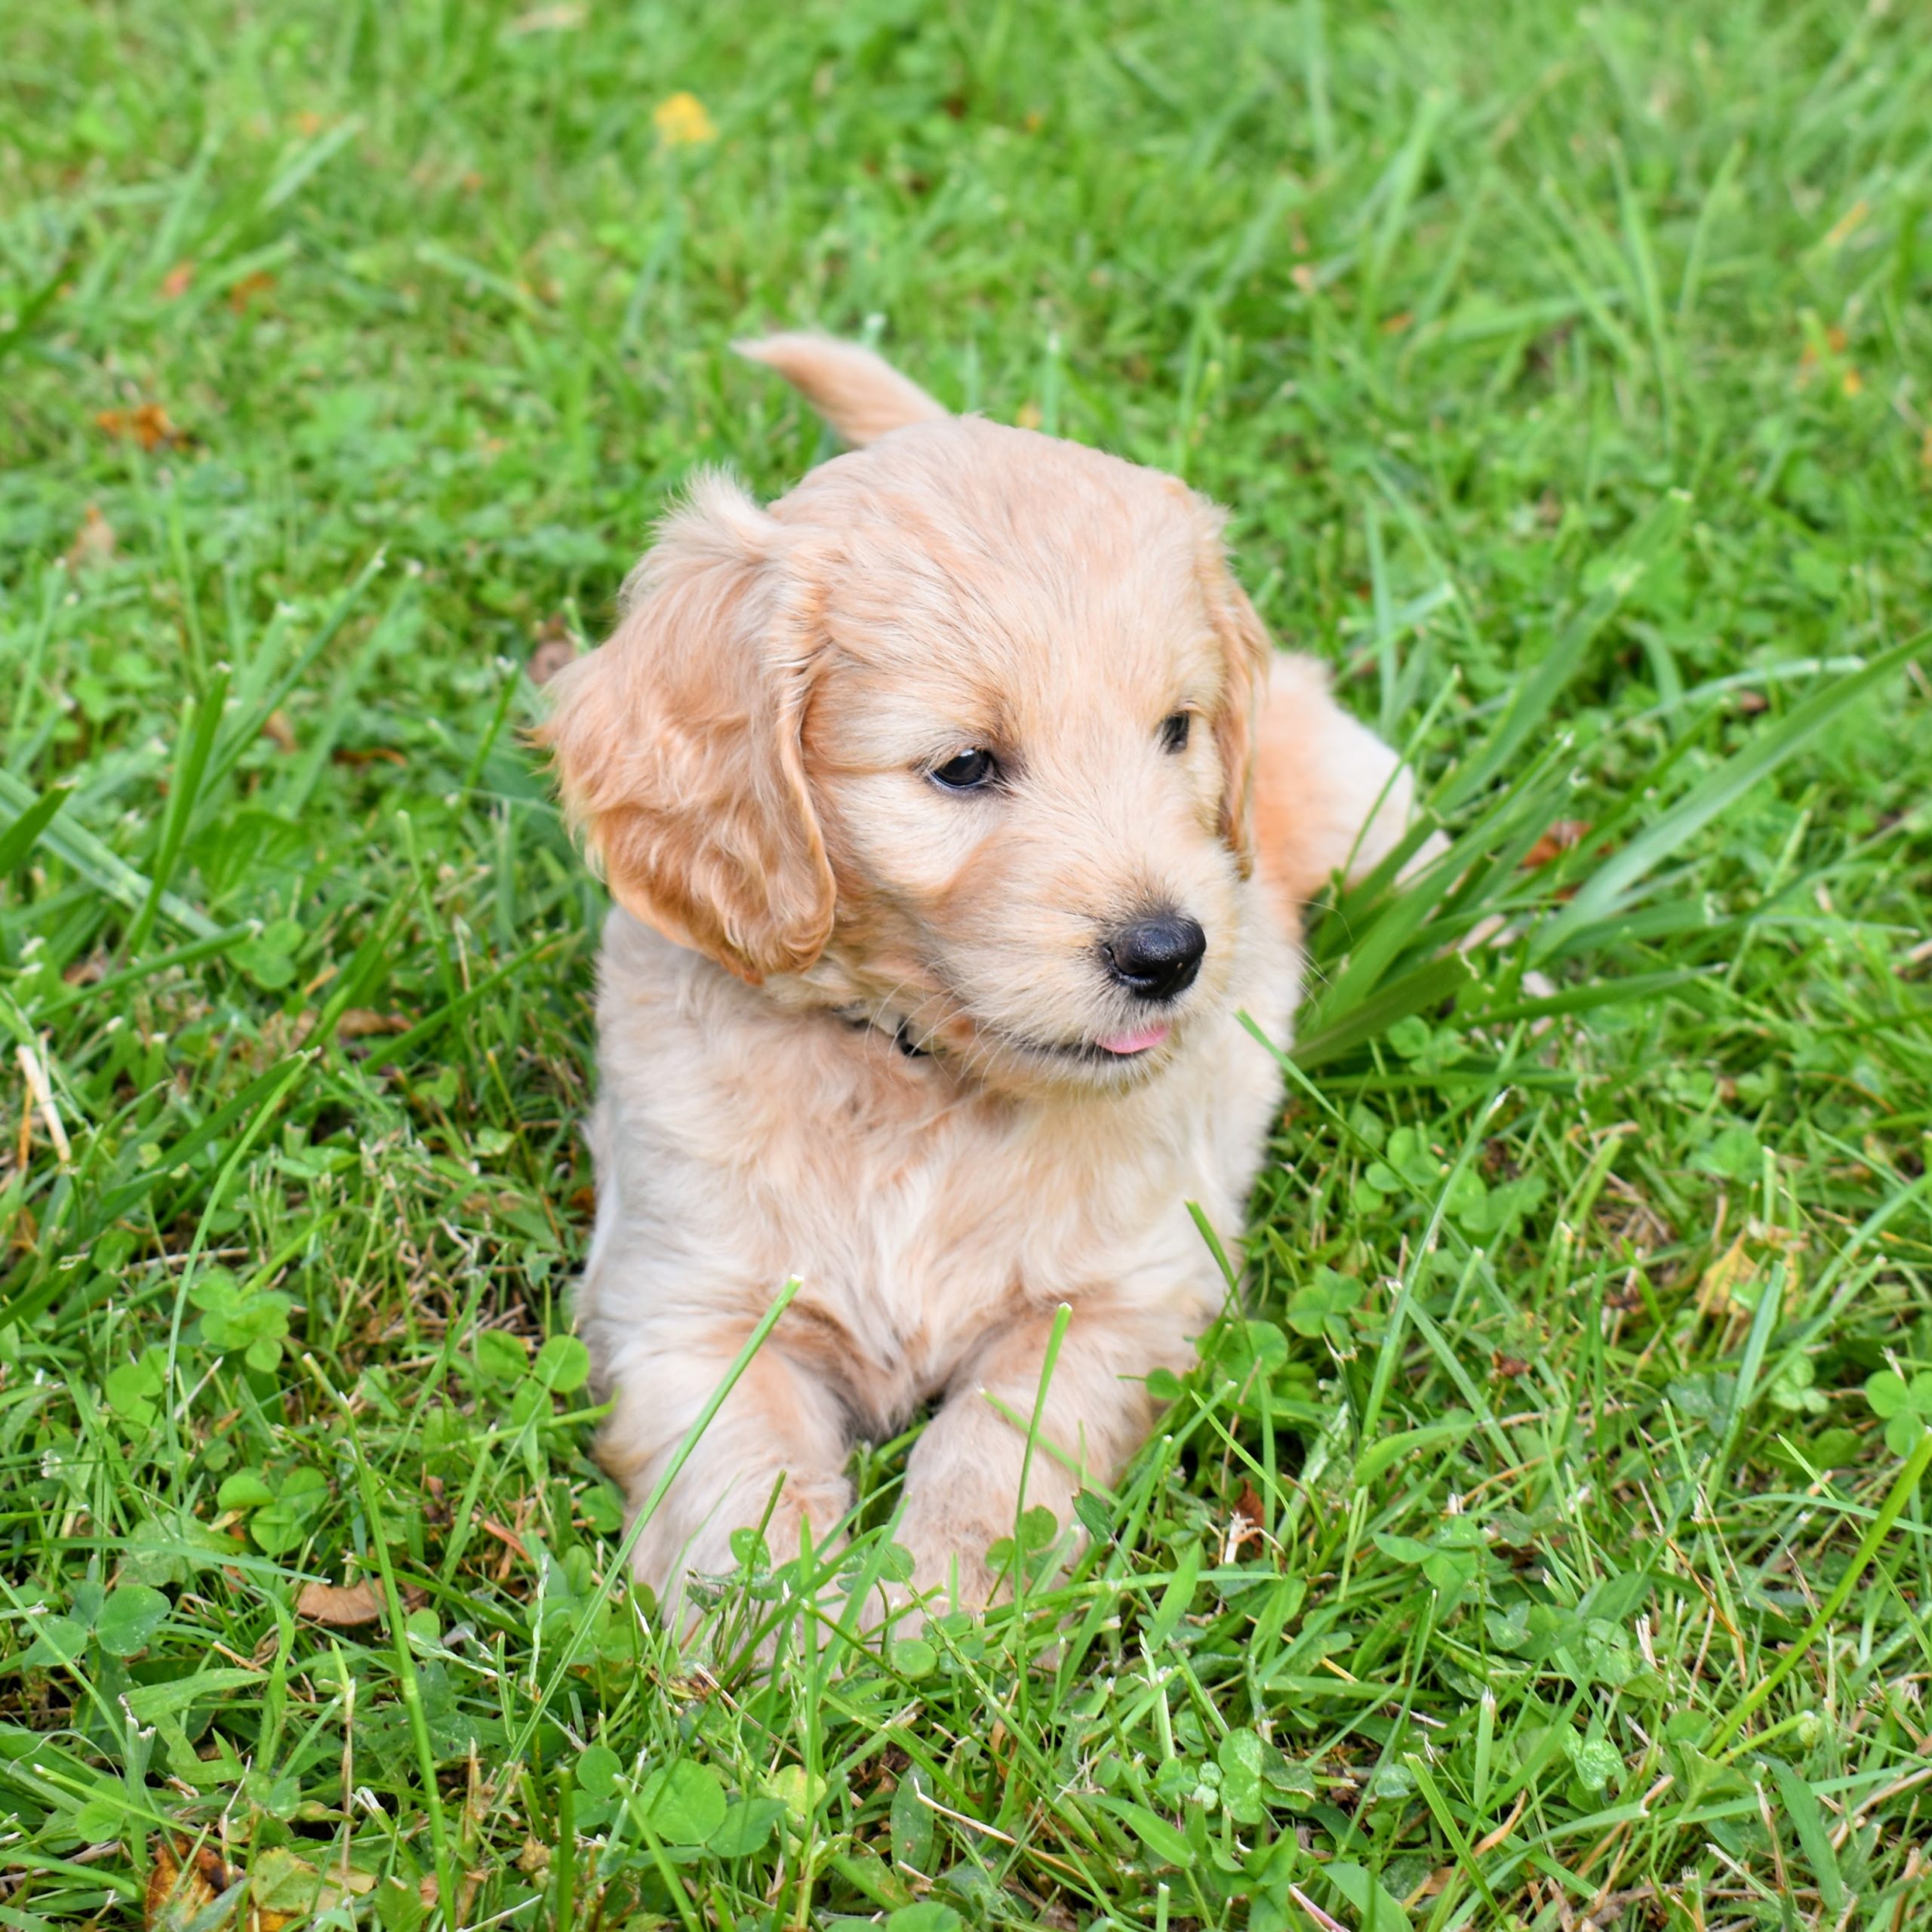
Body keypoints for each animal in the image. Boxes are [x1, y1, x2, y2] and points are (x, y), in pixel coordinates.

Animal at [544, 340, 1422, 1623]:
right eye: (963, 767)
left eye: (1177, 731)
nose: (1171, 954)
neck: (918, 1079)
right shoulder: (687, 1304)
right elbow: (738, 1483)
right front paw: (776, 1641)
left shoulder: (1119, 1297)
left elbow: (995, 1458)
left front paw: (934, 1615)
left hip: (1352, 802)